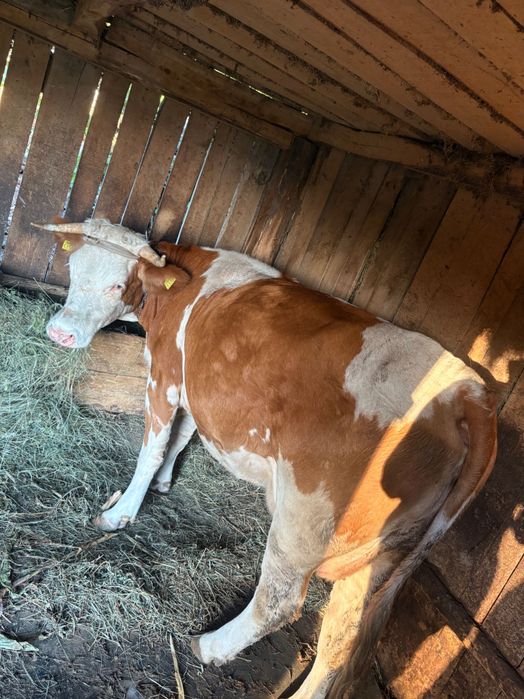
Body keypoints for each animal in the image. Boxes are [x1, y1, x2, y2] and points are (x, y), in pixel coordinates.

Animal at [39, 218, 497, 699]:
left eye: (117, 284)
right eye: (72, 267)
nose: (60, 333)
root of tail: (470, 394)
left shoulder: (165, 374)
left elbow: (155, 445)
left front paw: (122, 511)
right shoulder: (196, 382)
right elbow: (183, 436)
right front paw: (165, 481)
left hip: (306, 518)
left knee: (279, 600)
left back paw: (210, 645)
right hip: (384, 555)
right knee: (341, 639)